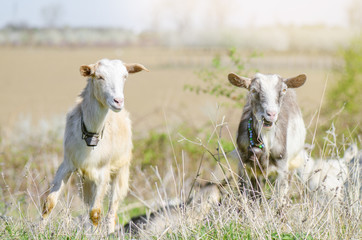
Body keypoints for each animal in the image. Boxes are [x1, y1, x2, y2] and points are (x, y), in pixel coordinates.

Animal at [42, 59, 148, 233]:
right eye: (99, 77)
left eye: (125, 76)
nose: (118, 101)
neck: (90, 136)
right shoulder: (67, 164)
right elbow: (49, 203)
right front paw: (37, 230)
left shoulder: (103, 172)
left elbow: (96, 212)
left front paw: (95, 234)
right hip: (84, 181)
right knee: (88, 205)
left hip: (121, 170)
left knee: (112, 209)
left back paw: (110, 232)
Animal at [228, 72, 306, 202]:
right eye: (253, 90)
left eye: (283, 90)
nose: (271, 114)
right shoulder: (243, 165)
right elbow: (246, 195)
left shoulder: (282, 167)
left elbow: (279, 198)